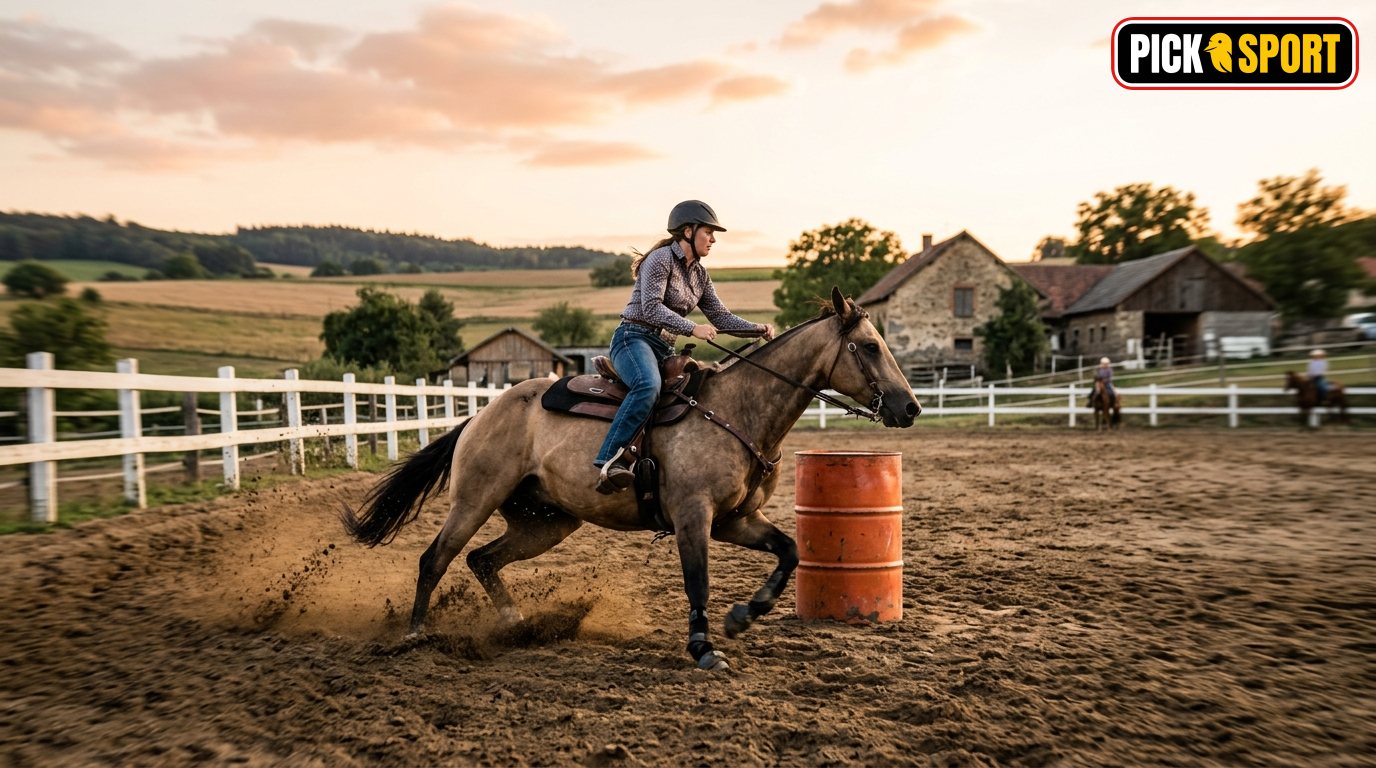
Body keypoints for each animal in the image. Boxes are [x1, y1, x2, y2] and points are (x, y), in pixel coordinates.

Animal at [341, 288, 920, 671]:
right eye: (870, 347)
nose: (910, 407)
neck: (738, 410)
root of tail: (481, 415)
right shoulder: (693, 516)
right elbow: (697, 580)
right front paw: (704, 649)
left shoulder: (736, 520)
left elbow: (790, 551)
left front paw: (742, 617)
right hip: (475, 498)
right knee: (435, 558)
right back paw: (415, 635)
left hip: (545, 522)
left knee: (482, 560)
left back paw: (518, 625)